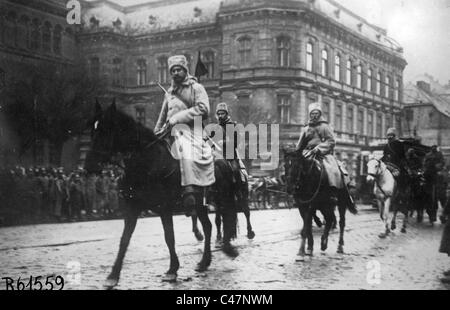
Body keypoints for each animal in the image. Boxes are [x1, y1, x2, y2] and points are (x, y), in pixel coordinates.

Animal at [85, 101, 239, 288]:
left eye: (106, 130)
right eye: (92, 130)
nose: (89, 166)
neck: (147, 162)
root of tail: (222, 159)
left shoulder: (165, 208)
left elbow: (169, 237)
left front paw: (172, 270)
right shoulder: (132, 208)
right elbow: (124, 239)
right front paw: (113, 275)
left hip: (221, 199)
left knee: (224, 220)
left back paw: (226, 249)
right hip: (200, 205)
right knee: (208, 227)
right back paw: (204, 262)